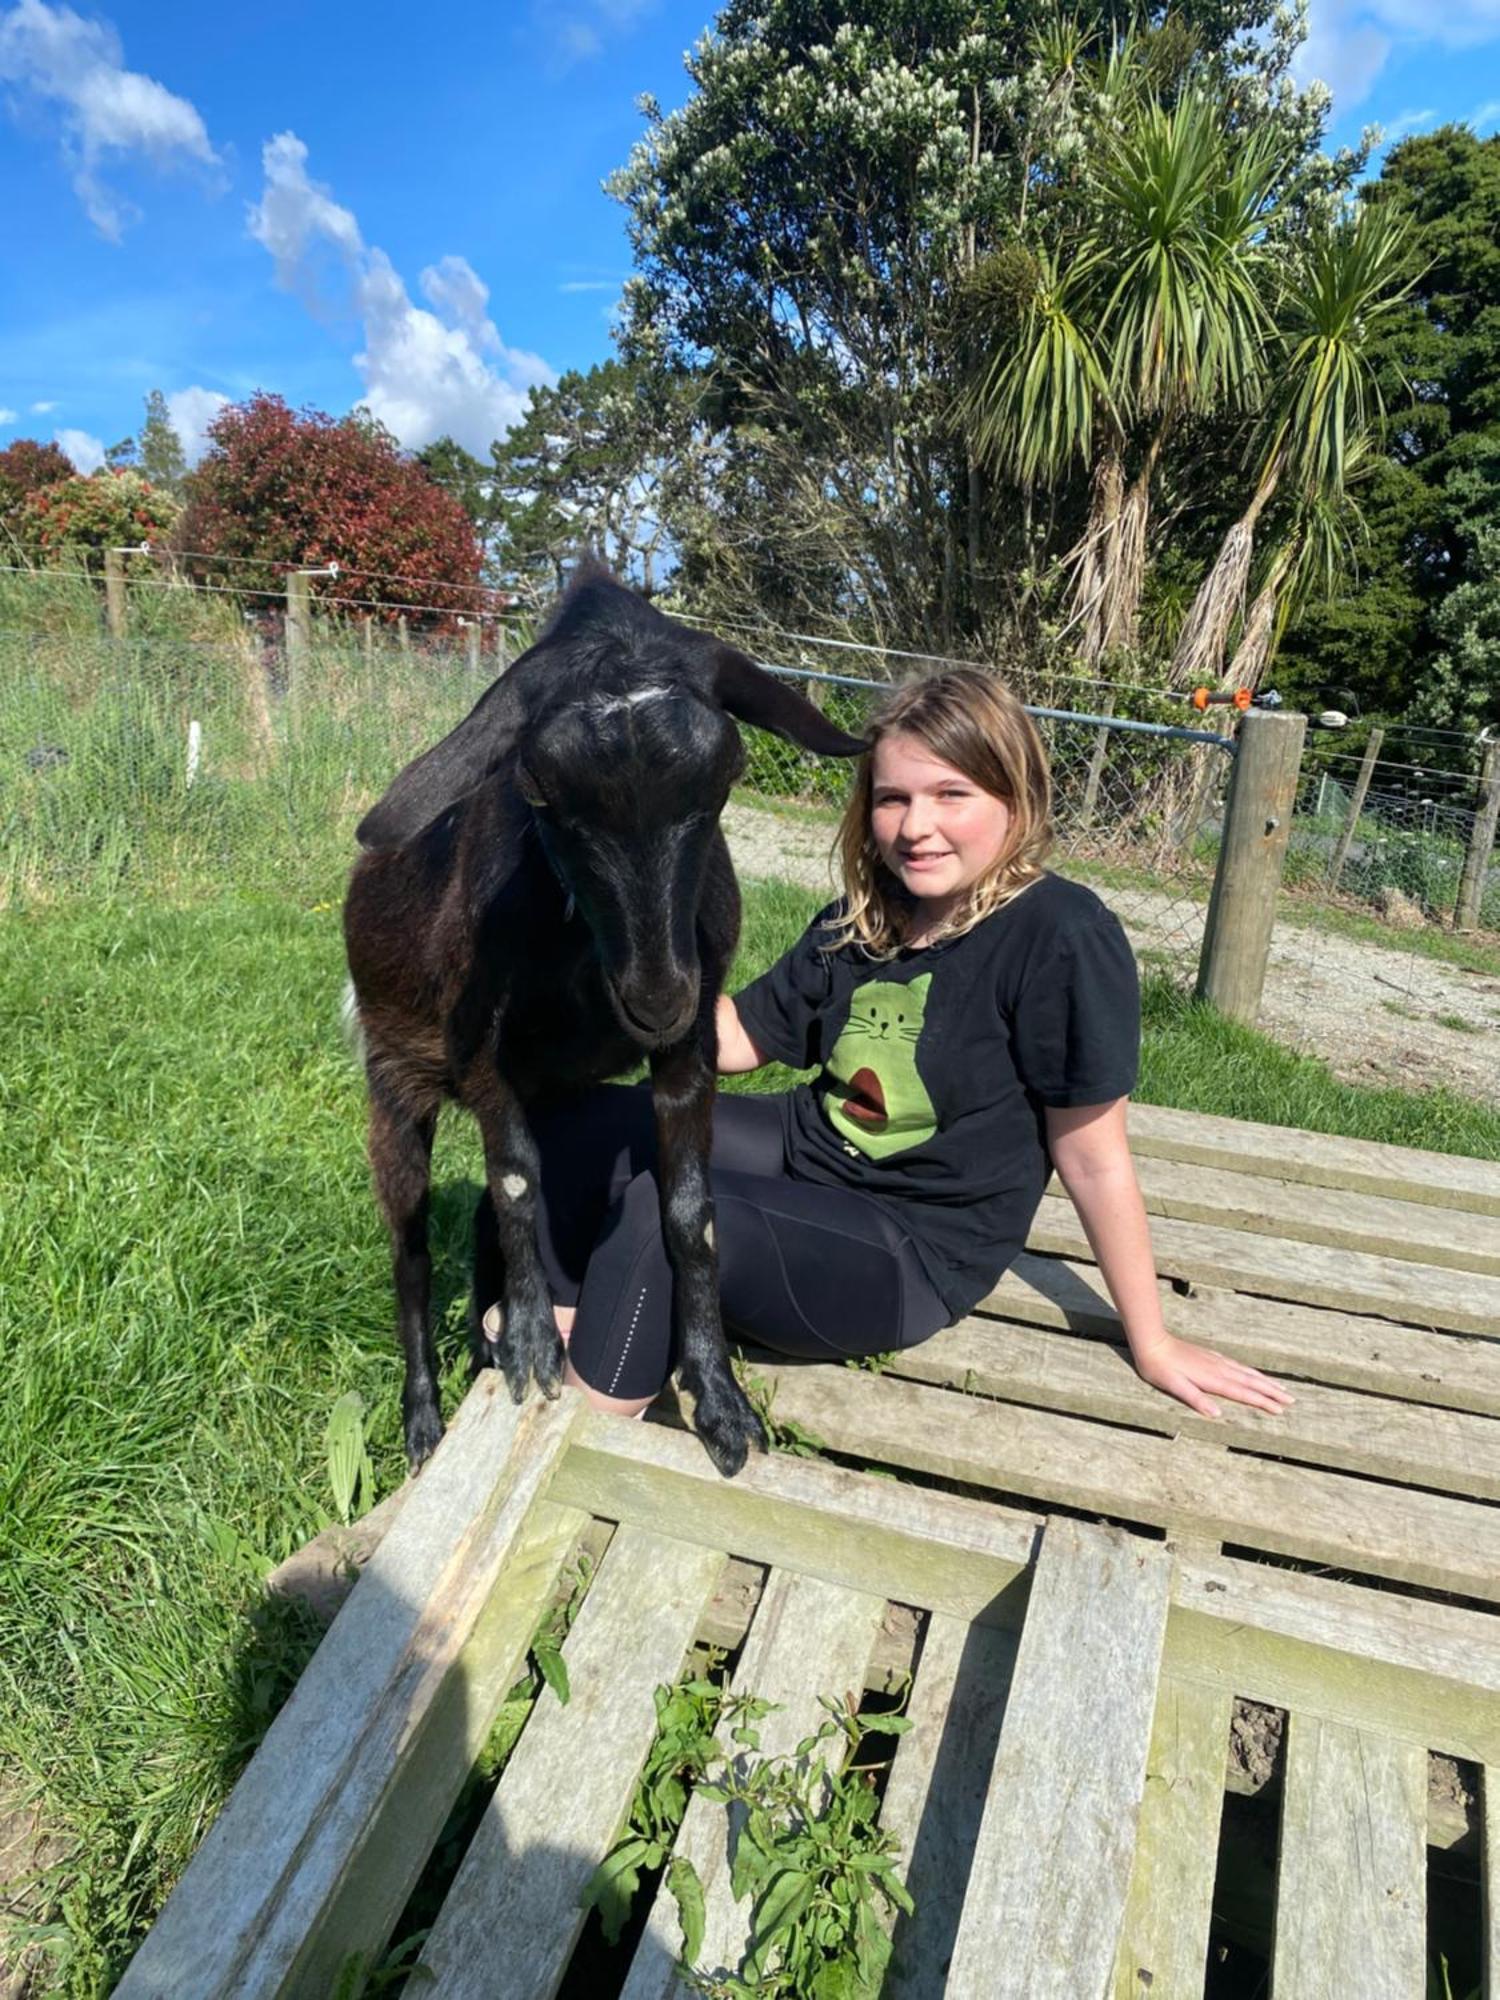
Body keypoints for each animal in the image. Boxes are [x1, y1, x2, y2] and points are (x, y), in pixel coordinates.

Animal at [340, 572, 856, 1480]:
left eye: (725, 780)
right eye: (539, 794)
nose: (656, 997)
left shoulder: (691, 1048)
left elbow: (689, 1213)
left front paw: (719, 1401)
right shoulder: (481, 1053)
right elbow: (516, 1181)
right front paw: (534, 1348)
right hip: (394, 1082)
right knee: (411, 1251)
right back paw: (426, 1422)